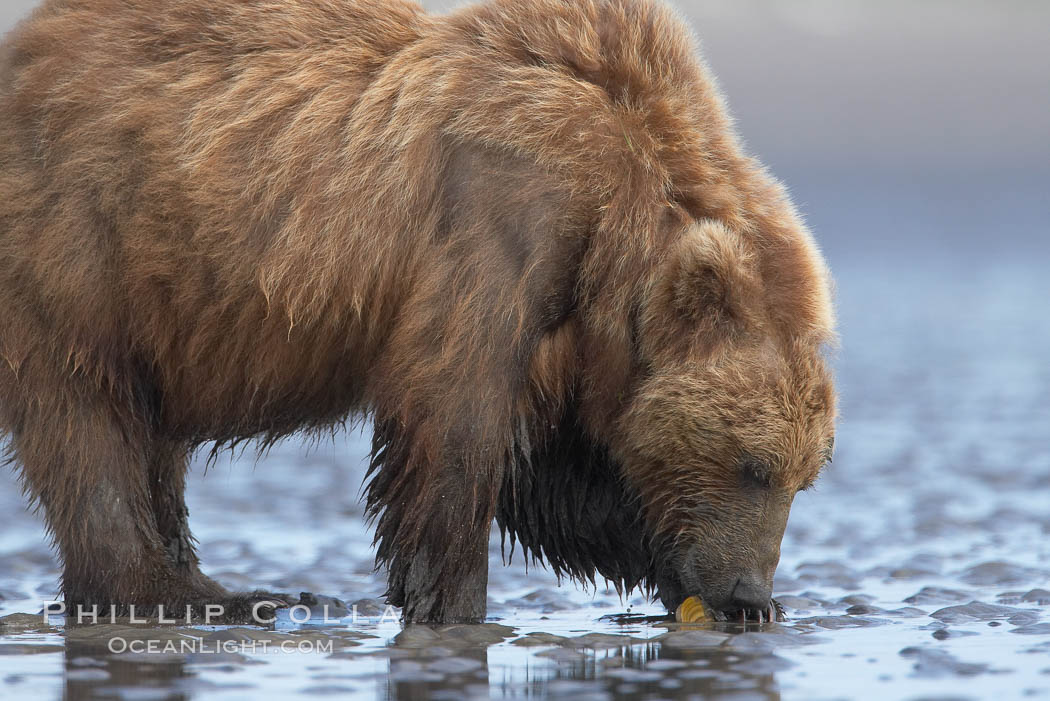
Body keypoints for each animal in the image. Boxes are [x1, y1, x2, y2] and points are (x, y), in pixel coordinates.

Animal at [0, 0, 835, 625]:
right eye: (753, 464)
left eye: (804, 476)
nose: (749, 590)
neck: (614, 233)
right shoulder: (498, 222)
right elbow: (457, 420)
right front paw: (451, 602)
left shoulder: (573, 324)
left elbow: (562, 478)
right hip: (85, 249)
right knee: (89, 423)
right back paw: (194, 592)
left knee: (147, 436)